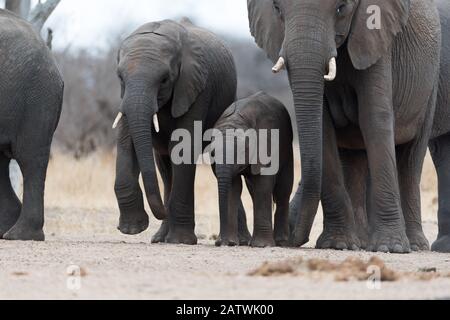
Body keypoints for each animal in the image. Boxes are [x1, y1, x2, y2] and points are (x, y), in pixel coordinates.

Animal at [112, 19, 251, 245]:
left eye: (164, 80)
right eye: (120, 78)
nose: (162, 210)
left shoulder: (197, 87)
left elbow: (183, 147)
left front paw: (181, 240)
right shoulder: (125, 97)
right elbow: (125, 142)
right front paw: (132, 229)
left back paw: (240, 241)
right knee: (165, 169)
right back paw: (160, 238)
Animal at [212, 92, 294, 248]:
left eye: (240, 152)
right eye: (212, 153)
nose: (220, 243)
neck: (237, 119)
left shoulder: (266, 144)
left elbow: (263, 184)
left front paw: (262, 245)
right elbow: (233, 186)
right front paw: (231, 242)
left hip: (287, 147)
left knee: (283, 189)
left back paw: (281, 242)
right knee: (253, 191)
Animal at [250, 0, 442, 252]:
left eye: (342, 8)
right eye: (276, 8)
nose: (288, 240)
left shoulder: (376, 41)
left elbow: (374, 119)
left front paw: (390, 248)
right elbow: (324, 128)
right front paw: (337, 244)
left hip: (430, 87)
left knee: (411, 159)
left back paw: (416, 245)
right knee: (354, 160)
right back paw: (360, 243)